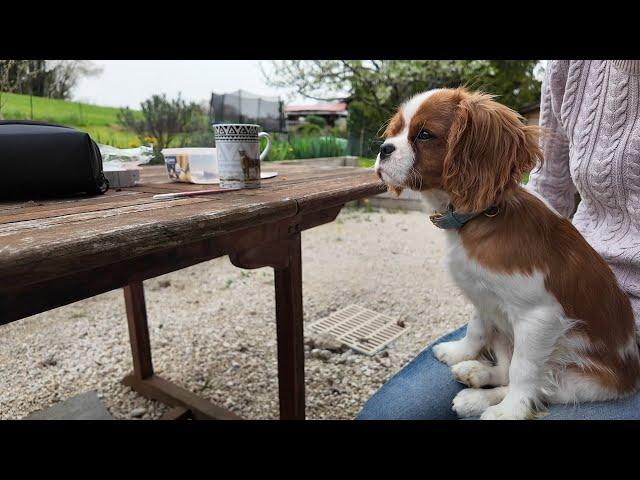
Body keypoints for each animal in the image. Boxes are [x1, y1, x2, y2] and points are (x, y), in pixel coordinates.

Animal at [376, 88, 640, 418]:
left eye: (424, 135)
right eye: (396, 130)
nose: (383, 149)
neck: (481, 215)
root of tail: (631, 379)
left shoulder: (539, 318)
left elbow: (523, 371)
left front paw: (510, 411)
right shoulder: (482, 297)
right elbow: (477, 328)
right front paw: (459, 352)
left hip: (581, 382)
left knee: (540, 386)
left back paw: (485, 400)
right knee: (505, 369)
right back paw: (475, 378)